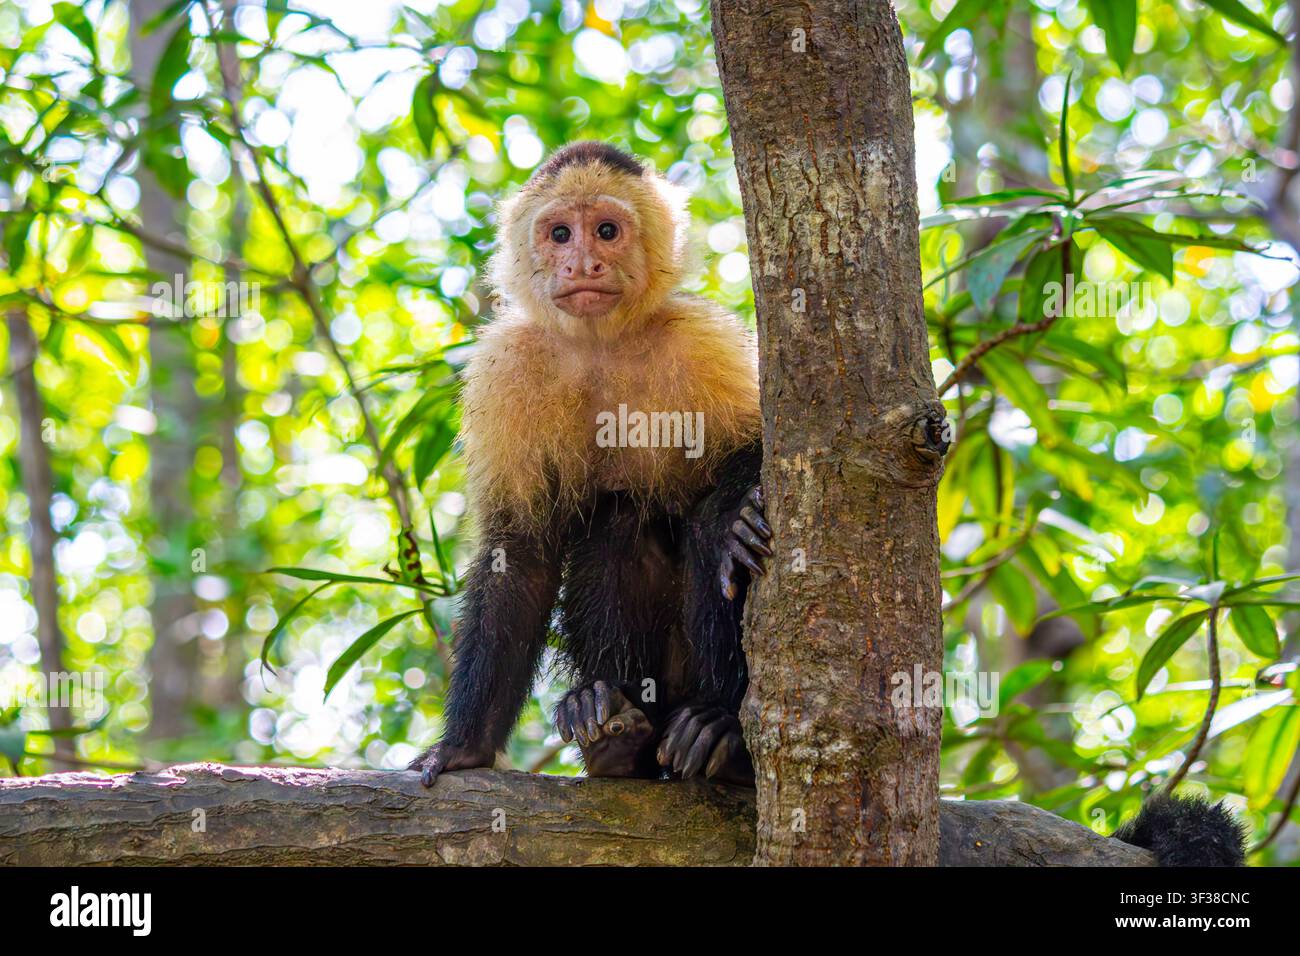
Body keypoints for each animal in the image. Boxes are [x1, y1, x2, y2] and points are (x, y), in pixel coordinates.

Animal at [408, 141, 770, 787]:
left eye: (606, 231)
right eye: (560, 234)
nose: (583, 264)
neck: (601, 344)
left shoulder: (701, 340)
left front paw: (736, 515)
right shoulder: (506, 368)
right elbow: (519, 551)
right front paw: (464, 747)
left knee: (696, 529)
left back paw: (722, 731)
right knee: (619, 521)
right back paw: (612, 726)